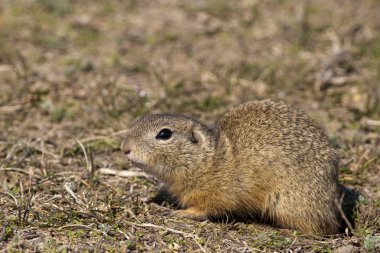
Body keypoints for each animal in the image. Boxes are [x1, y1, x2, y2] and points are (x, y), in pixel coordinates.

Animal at [121, 100, 342, 234]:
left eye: (164, 134)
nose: (125, 148)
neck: (209, 160)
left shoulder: (217, 194)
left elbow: (206, 209)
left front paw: (182, 213)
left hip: (289, 202)